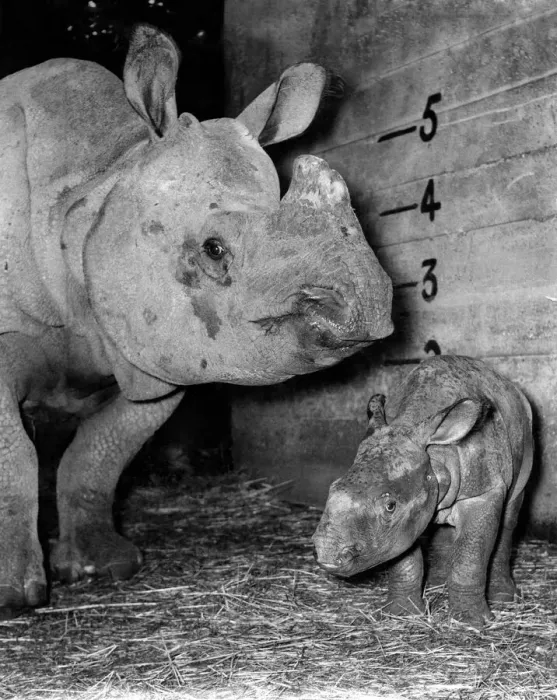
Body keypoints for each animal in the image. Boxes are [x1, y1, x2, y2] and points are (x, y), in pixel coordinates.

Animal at [0, 24, 393, 619]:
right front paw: (16, 598)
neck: (94, 193)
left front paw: (104, 568)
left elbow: (99, 456)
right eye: (213, 249)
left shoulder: (150, 354)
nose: (365, 307)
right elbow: (16, 459)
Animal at [313, 355, 533, 629]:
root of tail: (511, 387)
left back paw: (504, 598)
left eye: (390, 506)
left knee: (509, 516)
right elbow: (403, 555)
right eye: (332, 487)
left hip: (525, 430)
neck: (436, 456)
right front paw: (401, 614)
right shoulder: (405, 517)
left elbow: (470, 556)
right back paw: (437, 584)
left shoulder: (482, 493)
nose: (326, 554)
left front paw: (471, 622)